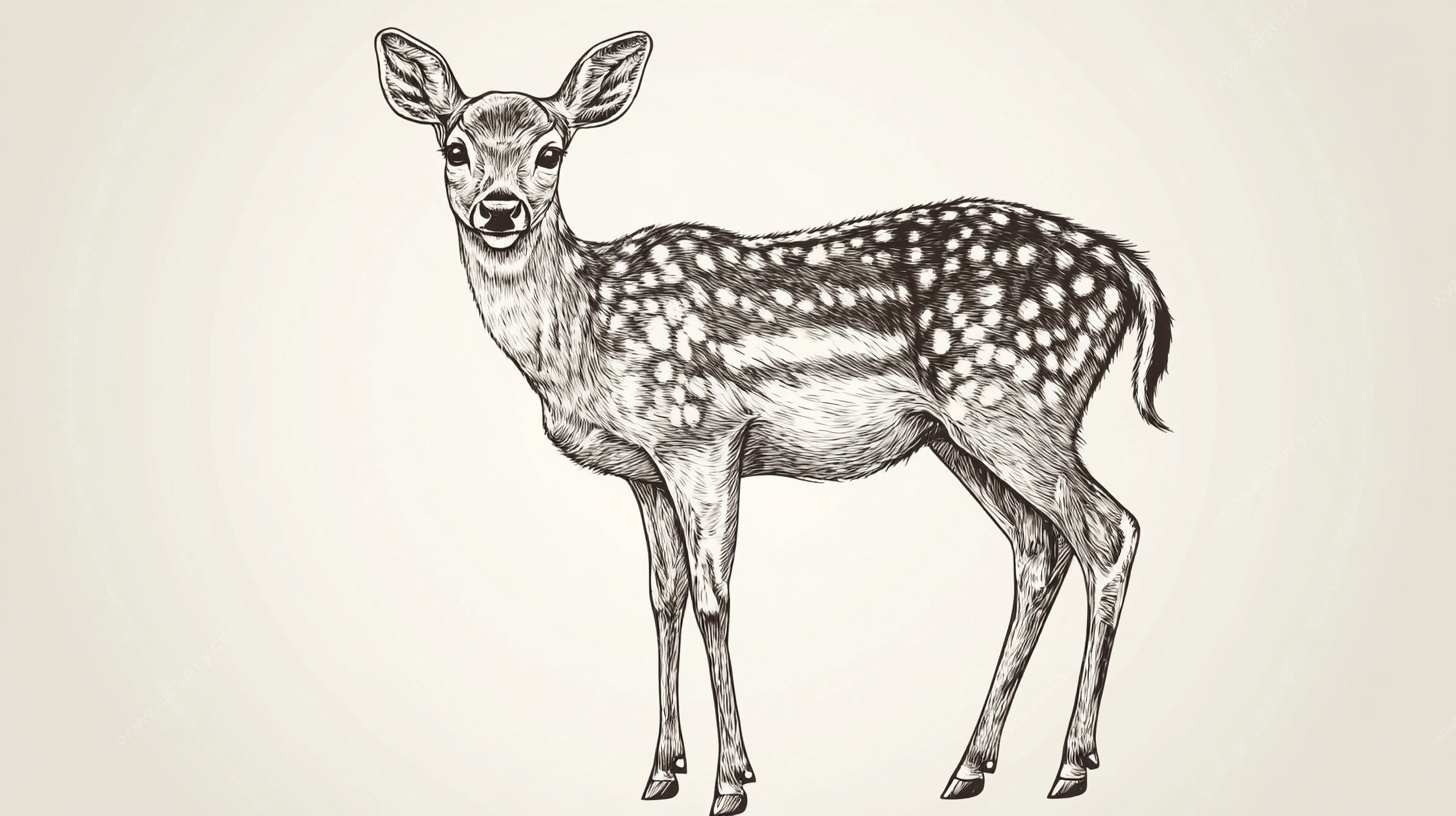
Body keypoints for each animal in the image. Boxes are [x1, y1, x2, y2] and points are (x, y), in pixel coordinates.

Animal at [374, 27, 1172, 816]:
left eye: (551, 151)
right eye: (454, 149)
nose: (499, 209)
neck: (582, 334)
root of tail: (1126, 267)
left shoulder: (701, 434)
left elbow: (713, 597)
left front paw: (730, 782)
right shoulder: (645, 472)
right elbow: (663, 597)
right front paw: (663, 771)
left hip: (1016, 403)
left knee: (1110, 531)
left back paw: (1071, 764)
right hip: (960, 435)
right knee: (1040, 547)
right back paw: (971, 767)